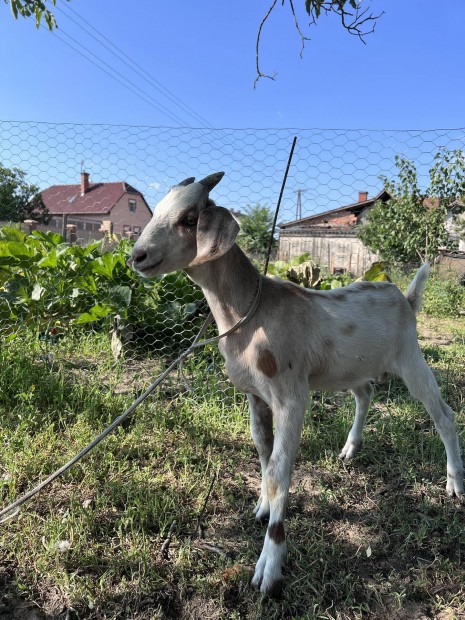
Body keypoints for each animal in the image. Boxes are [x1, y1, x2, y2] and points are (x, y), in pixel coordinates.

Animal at [129, 173, 462, 596]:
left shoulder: (291, 397)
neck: (251, 313)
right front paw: (262, 507)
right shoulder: (255, 396)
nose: (137, 257)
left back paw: (455, 484)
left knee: (444, 414)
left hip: (410, 357)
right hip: (351, 367)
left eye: (189, 218)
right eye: (156, 208)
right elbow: (263, 451)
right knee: (365, 392)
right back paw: (349, 449)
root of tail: (404, 297)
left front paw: (269, 566)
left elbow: (279, 471)